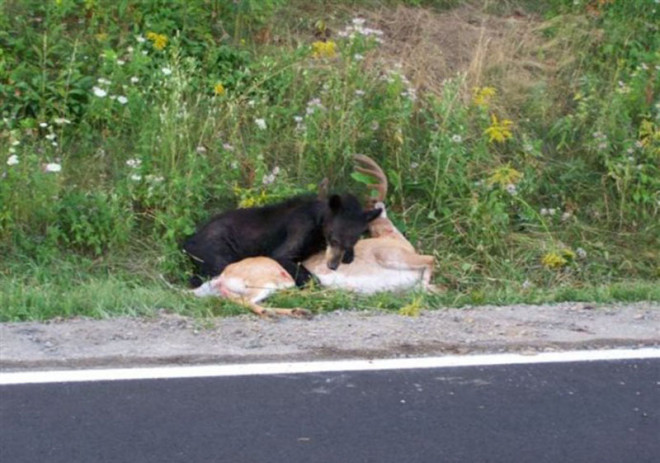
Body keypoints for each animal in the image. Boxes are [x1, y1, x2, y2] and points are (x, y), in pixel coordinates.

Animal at [184, 192, 382, 286]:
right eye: (333, 238)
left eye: (353, 240)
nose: (332, 265)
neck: (319, 226)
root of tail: (187, 243)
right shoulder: (300, 228)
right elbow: (284, 256)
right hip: (217, 247)